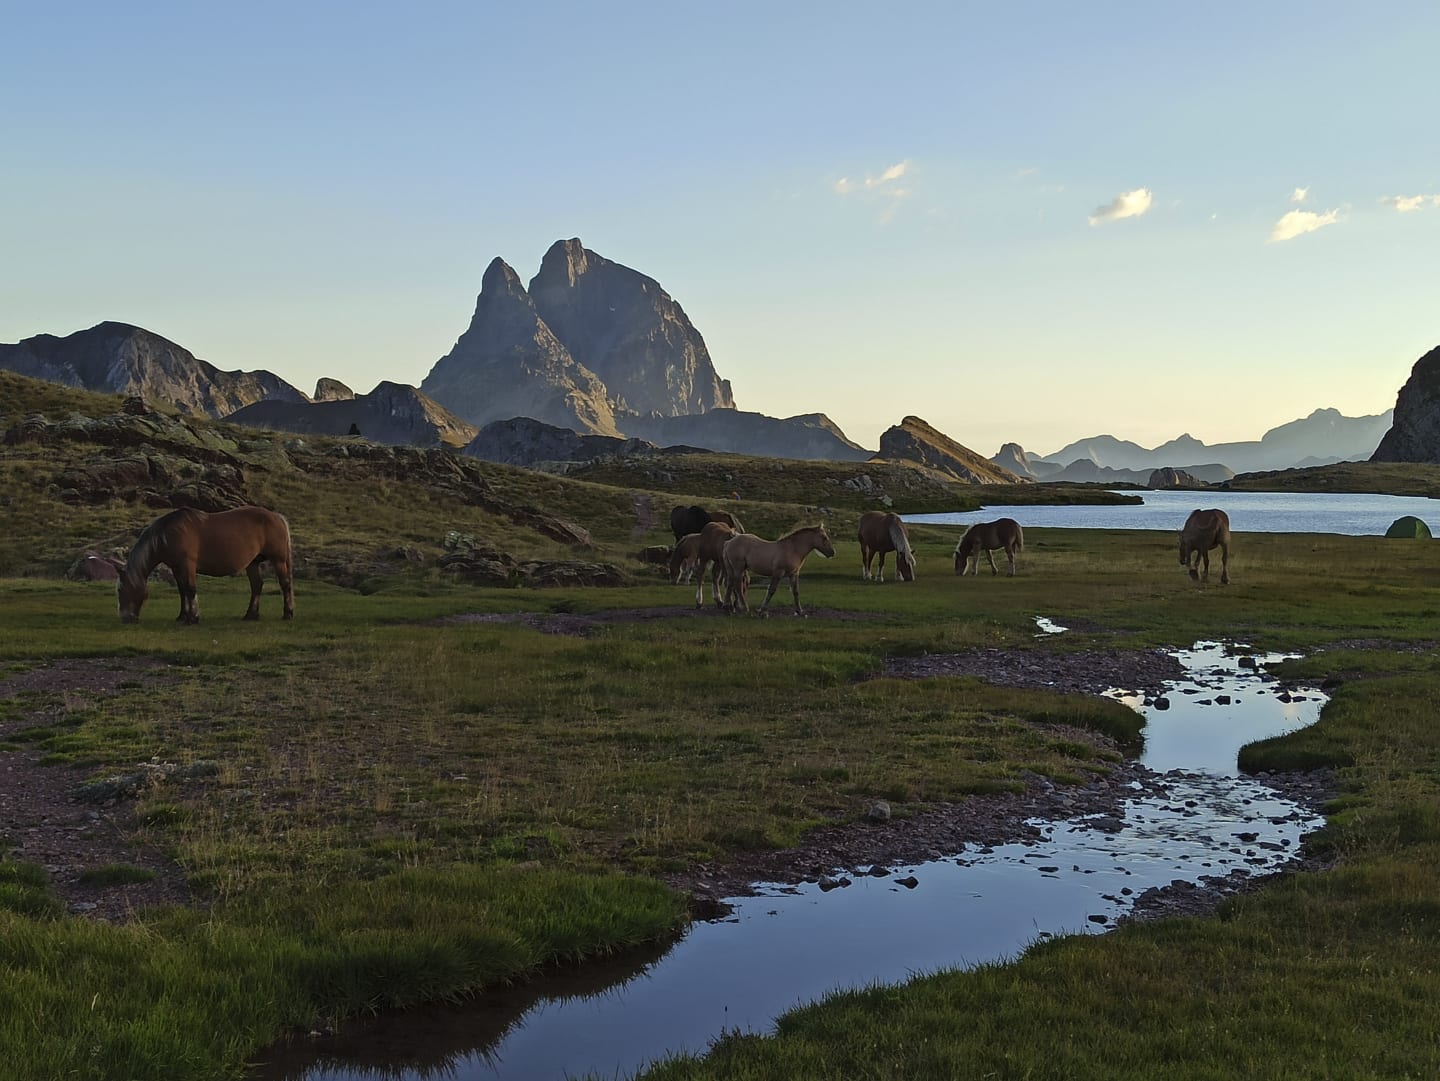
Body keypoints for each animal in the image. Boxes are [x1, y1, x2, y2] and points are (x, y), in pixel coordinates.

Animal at [115, 506, 295, 624]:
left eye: (121, 589)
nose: (125, 618)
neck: (167, 535)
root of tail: (278, 517)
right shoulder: (176, 568)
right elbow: (182, 591)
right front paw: (182, 616)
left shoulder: (187, 565)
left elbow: (190, 589)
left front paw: (193, 618)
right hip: (252, 562)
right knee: (257, 585)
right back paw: (251, 615)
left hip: (278, 560)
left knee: (285, 584)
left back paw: (288, 613)